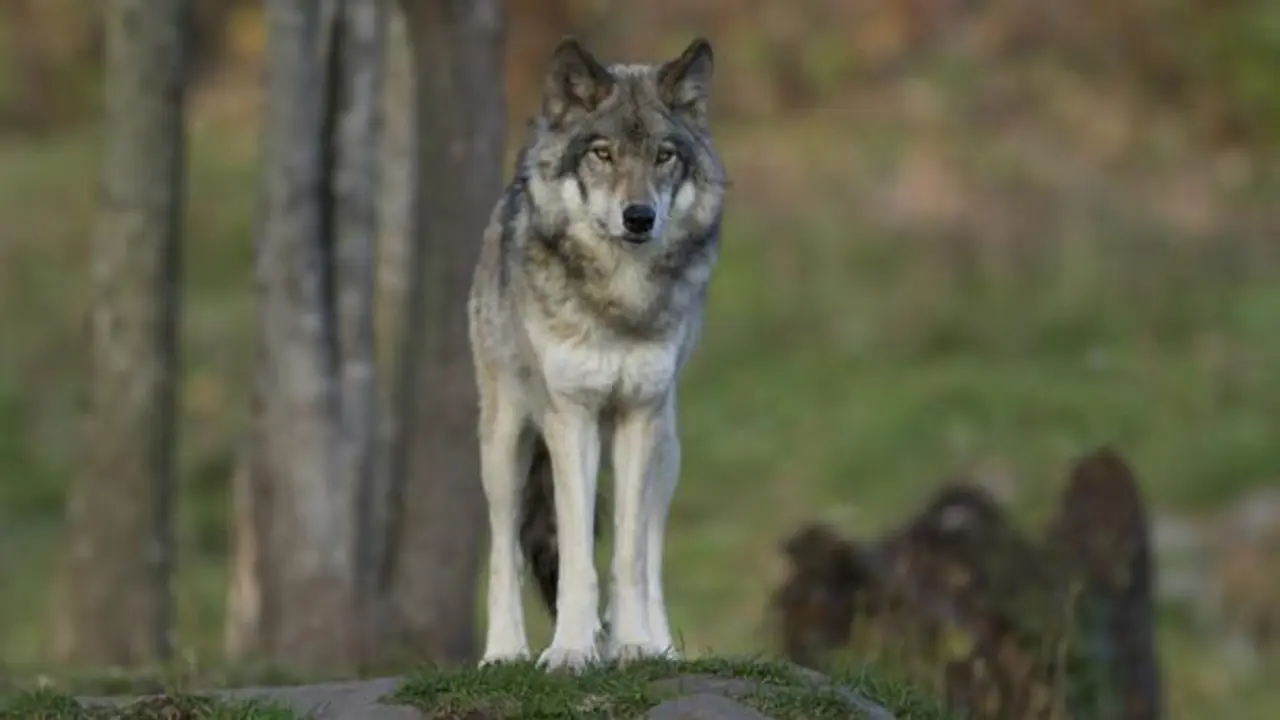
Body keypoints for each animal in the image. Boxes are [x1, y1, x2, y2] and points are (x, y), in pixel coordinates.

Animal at [467, 36, 726, 671]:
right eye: (603, 154)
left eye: (663, 156)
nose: (639, 217)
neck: (619, 300)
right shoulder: (572, 418)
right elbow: (578, 558)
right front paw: (569, 651)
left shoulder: (637, 417)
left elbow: (628, 558)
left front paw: (632, 645)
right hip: (505, 445)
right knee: (504, 550)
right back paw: (504, 652)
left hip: (667, 447)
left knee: (650, 553)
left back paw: (658, 645)